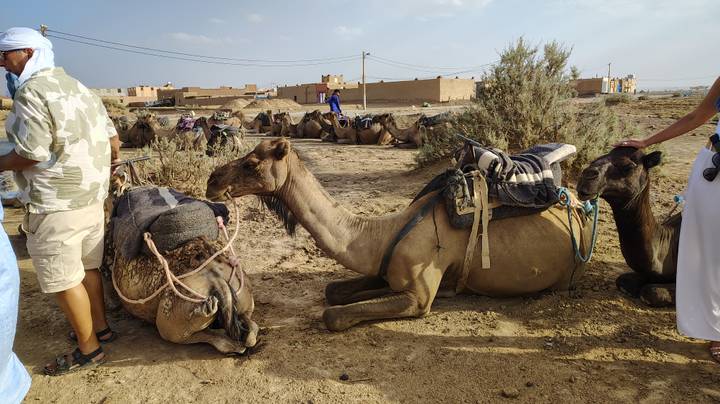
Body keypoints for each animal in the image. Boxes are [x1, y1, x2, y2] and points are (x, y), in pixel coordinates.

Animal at [104, 173, 259, 353]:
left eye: (110, 188)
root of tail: (219, 284)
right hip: (242, 294)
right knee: (249, 328)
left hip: (173, 317)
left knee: (183, 333)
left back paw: (208, 316)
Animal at [206, 138, 592, 331]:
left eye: (251, 163)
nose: (212, 180)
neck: (381, 232)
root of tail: (576, 203)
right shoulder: (386, 271)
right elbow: (334, 292)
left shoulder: (419, 298)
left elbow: (333, 315)